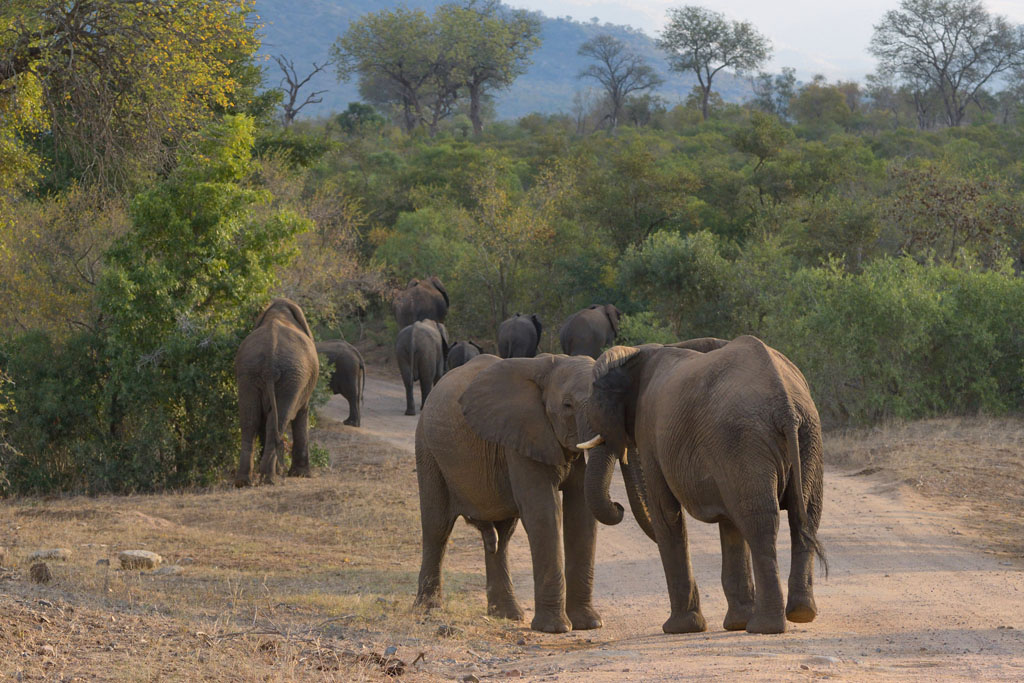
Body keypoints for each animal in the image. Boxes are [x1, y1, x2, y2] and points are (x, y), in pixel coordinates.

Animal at [235, 298, 319, 486]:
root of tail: (270, 359)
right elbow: (302, 413)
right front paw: (302, 475)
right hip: (292, 377)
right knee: (278, 421)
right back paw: (270, 478)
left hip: (249, 372)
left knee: (250, 420)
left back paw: (244, 481)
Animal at [414, 353, 605, 633]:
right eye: (568, 405)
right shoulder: (523, 436)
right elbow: (544, 513)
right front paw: (556, 628)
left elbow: (581, 512)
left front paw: (590, 624)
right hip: (427, 449)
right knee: (437, 528)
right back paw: (428, 610)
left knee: (501, 537)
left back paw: (506, 615)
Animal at [579, 335, 826, 635]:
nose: (618, 506)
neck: (640, 354)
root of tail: (785, 404)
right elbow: (730, 526)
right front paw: (735, 623)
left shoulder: (652, 432)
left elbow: (665, 513)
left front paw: (680, 628)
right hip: (806, 436)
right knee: (805, 517)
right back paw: (800, 614)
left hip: (745, 440)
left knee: (761, 524)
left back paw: (764, 627)